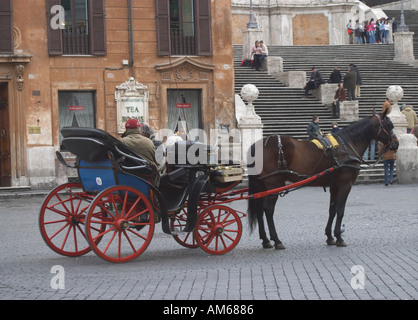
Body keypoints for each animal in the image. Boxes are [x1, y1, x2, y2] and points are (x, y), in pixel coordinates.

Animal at [248, 110, 398, 250]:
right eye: (390, 126)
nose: (396, 144)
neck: (348, 144)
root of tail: (257, 145)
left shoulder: (335, 185)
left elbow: (332, 210)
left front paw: (330, 236)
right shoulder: (345, 184)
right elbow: (340, 210)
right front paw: (339, 237)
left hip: (262, 185)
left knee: (259, 209)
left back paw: (265, 240)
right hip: (274, 184)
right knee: (268, 210)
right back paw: (276, 240)